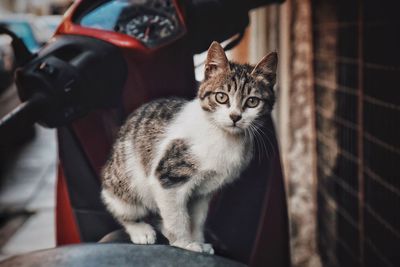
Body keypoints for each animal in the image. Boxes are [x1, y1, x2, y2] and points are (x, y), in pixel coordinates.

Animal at [100, 40, 276, 254]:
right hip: (126, 182)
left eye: (252, 101)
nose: (235, 117)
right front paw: (185, 244)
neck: (223, 137)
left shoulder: (204, 192)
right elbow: (177, 216)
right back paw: (141, 230)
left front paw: (199, 241)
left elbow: (197, 220)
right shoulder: (168, 178)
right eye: (221, 97)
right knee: (121, 208)